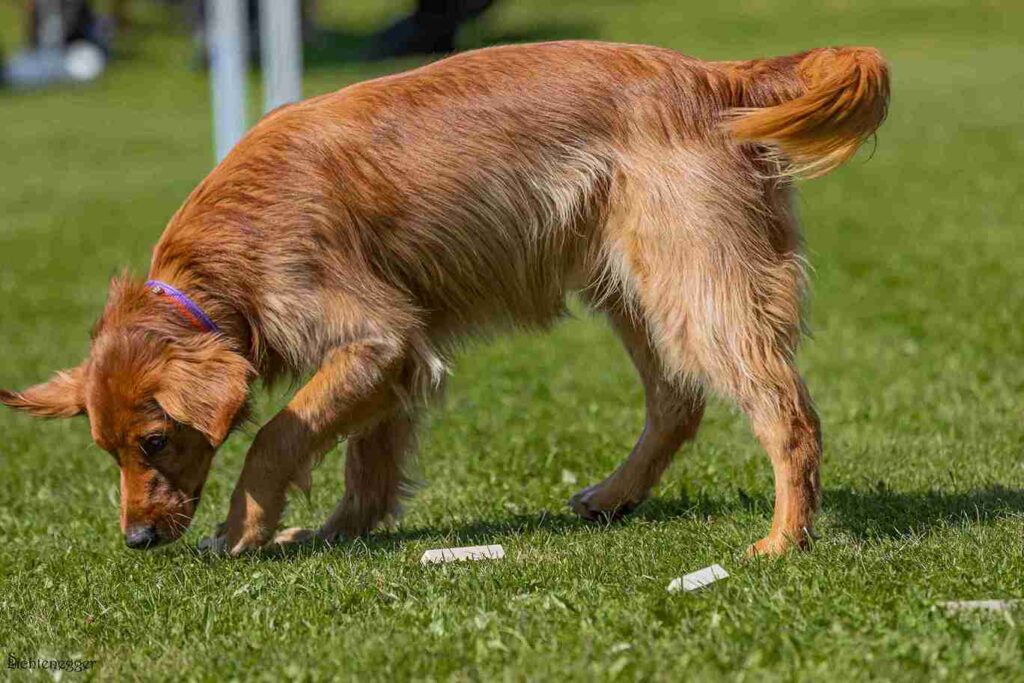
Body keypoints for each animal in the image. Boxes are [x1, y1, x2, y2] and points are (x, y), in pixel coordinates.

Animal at [0, 41, 884, 557]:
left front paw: (243, 529)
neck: (232, 246)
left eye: (154, 441)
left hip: (695, 289)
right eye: (105, 450)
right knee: (677, 401)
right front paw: (331, 532)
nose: (137, 539)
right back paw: (614, 495)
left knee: (786, 414)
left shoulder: (376, 335)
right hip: (632, 286)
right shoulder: (393, 356)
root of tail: (716, 75)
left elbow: (277, 437)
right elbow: (365, 458)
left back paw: (783, 539)